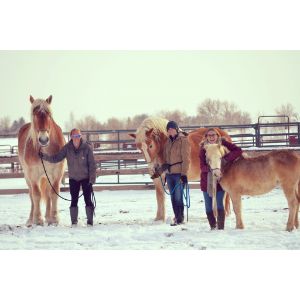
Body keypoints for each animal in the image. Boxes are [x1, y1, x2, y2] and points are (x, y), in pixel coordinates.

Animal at [17, 95, 65, 225]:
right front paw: (38, 219)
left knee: (47, 194)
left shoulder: (57, 173)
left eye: (49, 114)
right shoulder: (33, 174)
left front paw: (54, 218)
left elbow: (53, 193)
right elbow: (36, 194)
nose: (43, 139)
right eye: (34, 114)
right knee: (31, 195)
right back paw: (31, 219)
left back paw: (48, 216)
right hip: (27, 176)